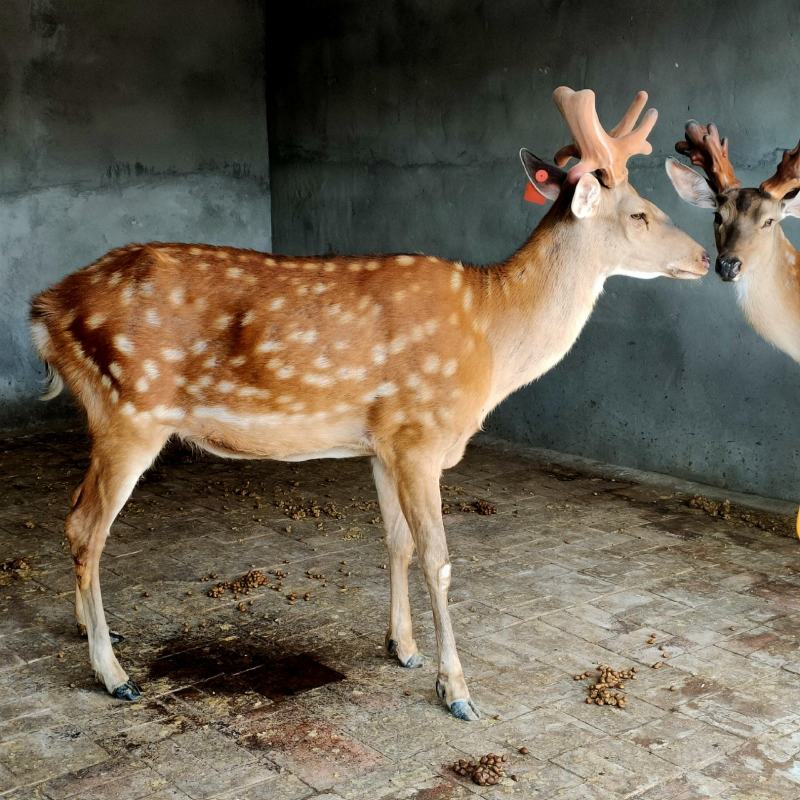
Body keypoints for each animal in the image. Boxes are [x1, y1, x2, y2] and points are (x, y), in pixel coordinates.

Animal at [30, 86, 708, 721]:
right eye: (642, 213)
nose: (706, 257)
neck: (490, 336)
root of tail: (44, 310)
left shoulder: (385, 441)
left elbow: (396, 542)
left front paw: (401, 647)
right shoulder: (421, 435)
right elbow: (438, 558)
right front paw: (456, 690)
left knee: (74, 515)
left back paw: (94, 628)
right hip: (131, 408)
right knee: (86, 525)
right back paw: (114, 674)